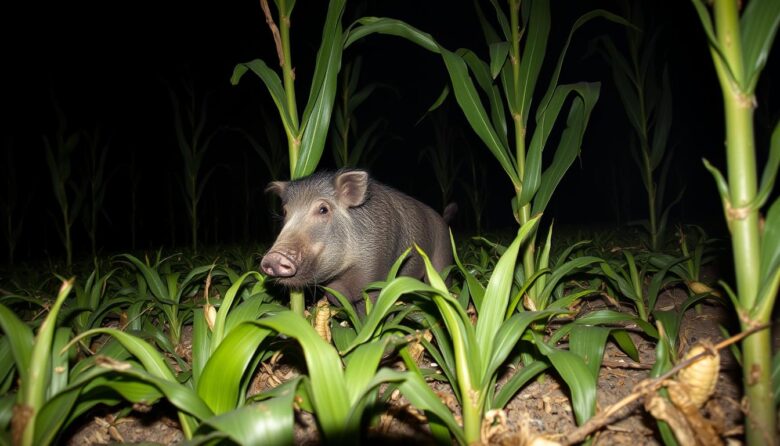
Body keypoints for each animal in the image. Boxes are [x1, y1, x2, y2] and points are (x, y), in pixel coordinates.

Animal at [260, 169, 454, 308]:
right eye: (285, 211)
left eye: (323, 209)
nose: (273, 258)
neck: (344, 273)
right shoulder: (334, 293)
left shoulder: (377, 277)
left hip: (442, 256)